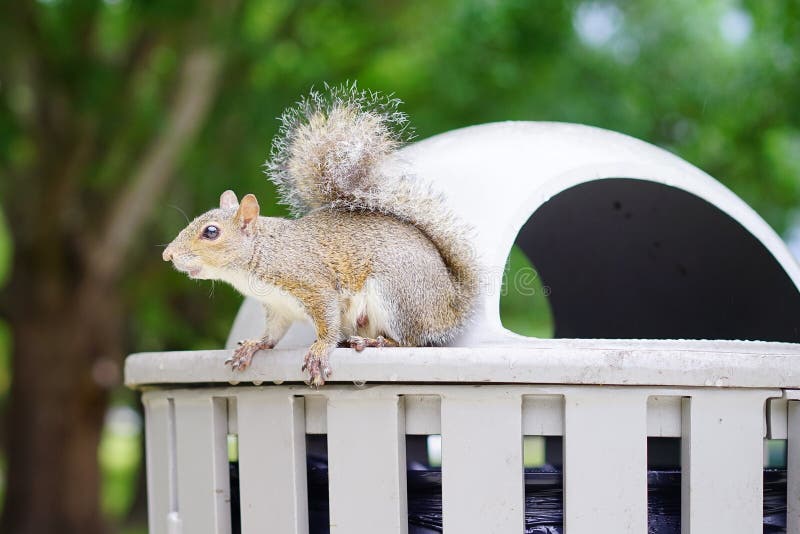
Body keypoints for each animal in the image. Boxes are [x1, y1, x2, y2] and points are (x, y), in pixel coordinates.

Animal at [162, 83, 480, 386]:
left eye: (211, 232)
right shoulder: (278, 307)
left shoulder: (313, 285)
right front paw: (254, 345)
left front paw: (320, 349)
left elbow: (327, 321)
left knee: (410, 341)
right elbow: (272, 334)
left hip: (396, 294)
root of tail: (451, 305)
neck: (259, 258)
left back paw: (375, 342)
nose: (168, 255)